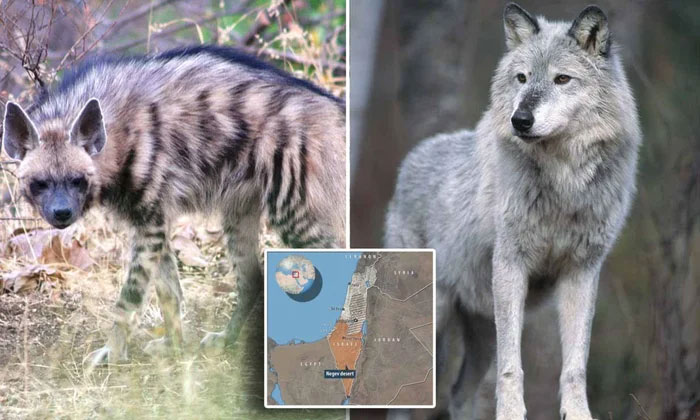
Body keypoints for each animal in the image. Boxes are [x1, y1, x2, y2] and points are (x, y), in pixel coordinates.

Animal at [2, 45, 346, 366]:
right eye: (40, 183)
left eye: (77, 180)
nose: (61, 213)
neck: (117, 137)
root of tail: (334, 108)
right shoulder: (150, 221)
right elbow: (169, 293)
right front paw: (175, 347)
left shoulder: (150, 222)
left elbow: (129, 297)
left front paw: (112, 353)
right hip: (237, 215)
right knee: (252, 280)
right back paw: (226, 339)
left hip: (293, 214)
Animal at [385, 4, 640, 420]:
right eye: (522, 78)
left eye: (562, 79)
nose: (520, 120)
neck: (563, 185)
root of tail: (408, 160)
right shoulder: (510, 265)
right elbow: (511, 366)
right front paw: (510, 413)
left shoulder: (582, 272)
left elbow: (575, 365)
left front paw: (578, 413)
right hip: (435, 321)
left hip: (479, 327)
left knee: (458, 393)